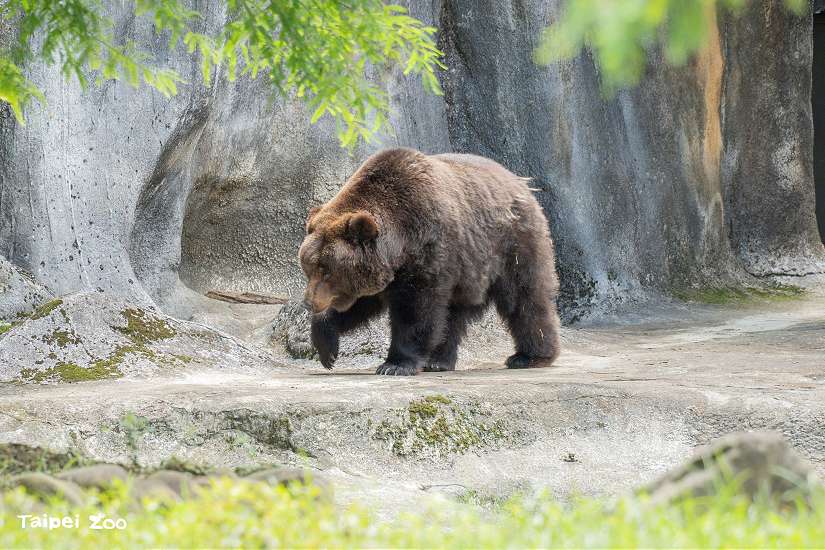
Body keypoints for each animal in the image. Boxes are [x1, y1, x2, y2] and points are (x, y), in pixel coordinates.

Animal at [298, 148, 561, 376]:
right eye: (308, 268)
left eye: (327, 270)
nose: (309, 303)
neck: (399, 243)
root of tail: (521, 183)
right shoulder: (381, 271)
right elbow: (360, 304)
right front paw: (326, 347)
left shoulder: (429, 250)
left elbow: (416, 310)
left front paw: (395, 364)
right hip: (470, 266)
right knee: (453, 314)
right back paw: (438, 361)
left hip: (511, 245)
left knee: (524, 296)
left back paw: (530, 356)